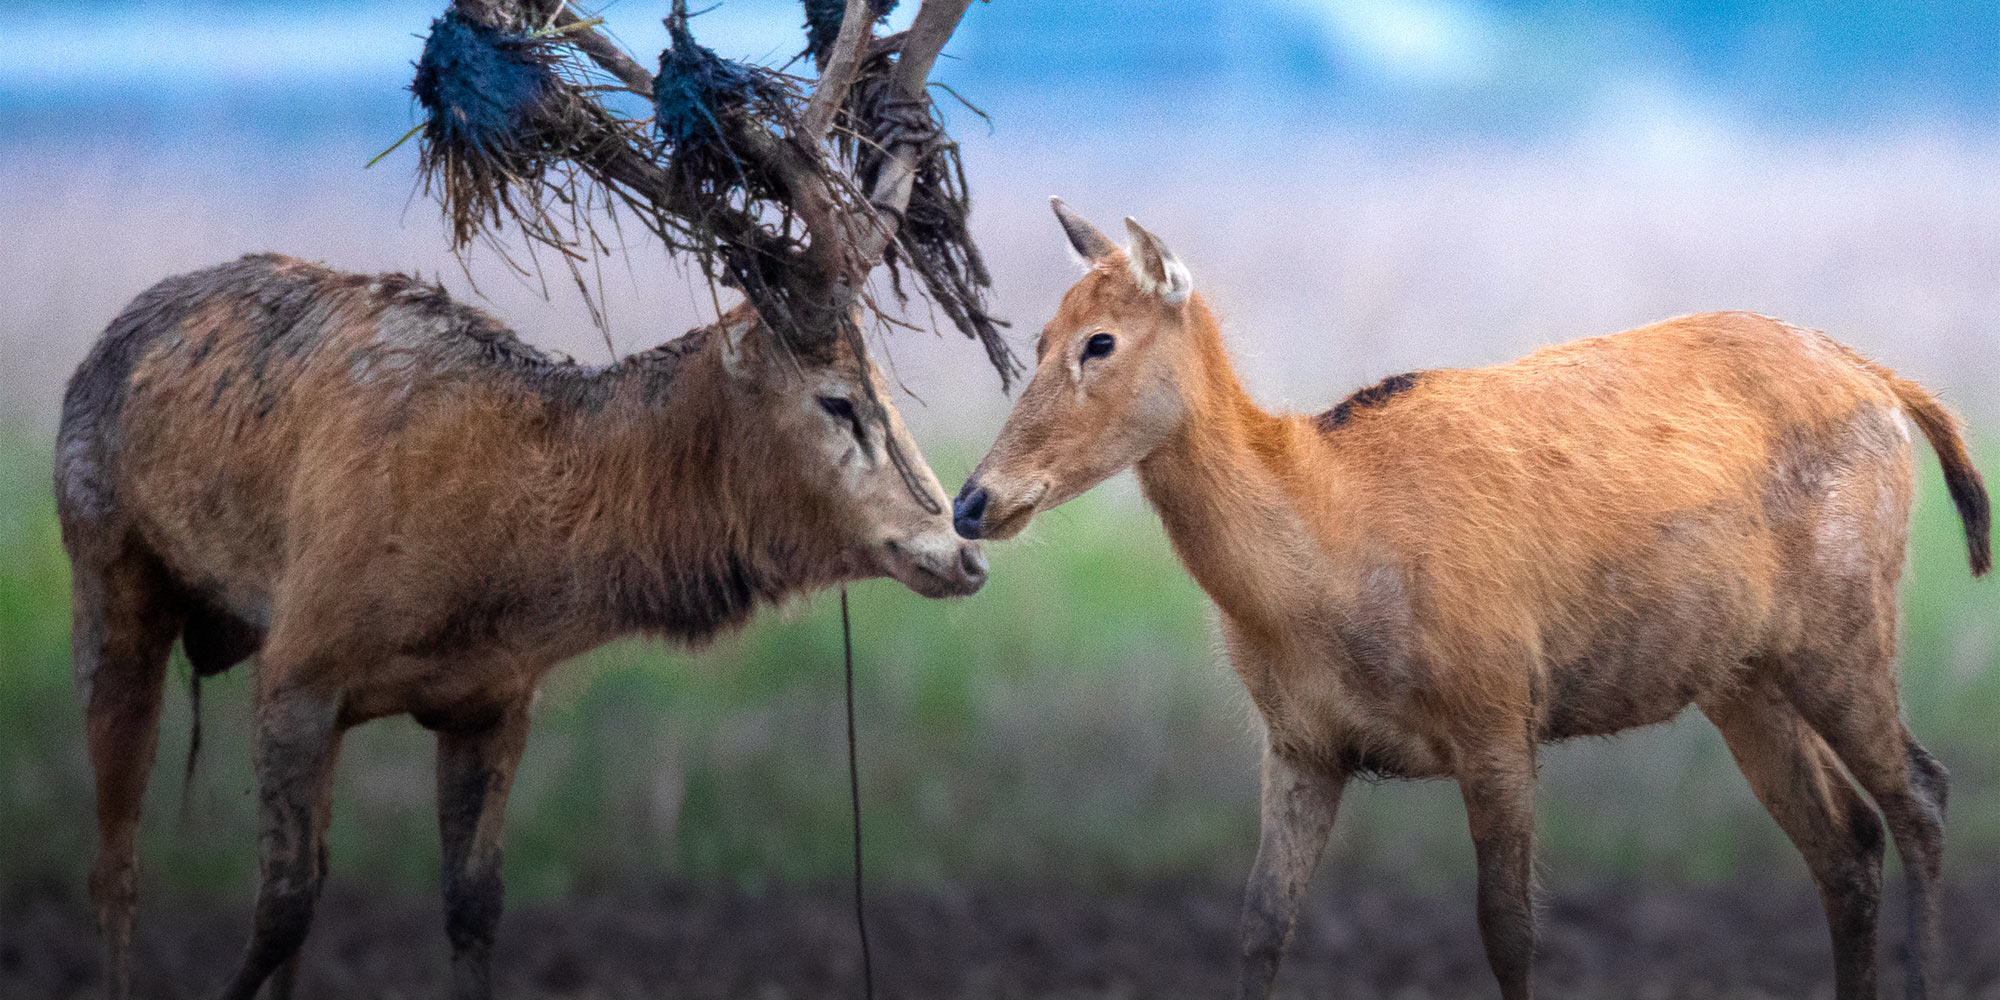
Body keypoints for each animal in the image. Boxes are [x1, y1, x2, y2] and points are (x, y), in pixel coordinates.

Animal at [58, 1, 1016, 992]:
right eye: (837, 401)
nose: (961, 550)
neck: (509, 564)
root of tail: (106, 342)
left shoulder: (493, 699)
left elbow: (470, 907)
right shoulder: (298, 666)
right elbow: (280, 910)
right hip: (103, 558)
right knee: (114, 861)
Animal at [960, 197, 1992, 1000]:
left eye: (1100, 342)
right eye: (1034, 337)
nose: (975, 500)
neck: (1324, 550)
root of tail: (1888, 384)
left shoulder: (1499, 709)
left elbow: (1507, 928)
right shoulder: (1301, 743)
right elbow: (1259, 926)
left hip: (1847, 619)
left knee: (1921, 794)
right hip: (1741, 674)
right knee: (1847, 842)